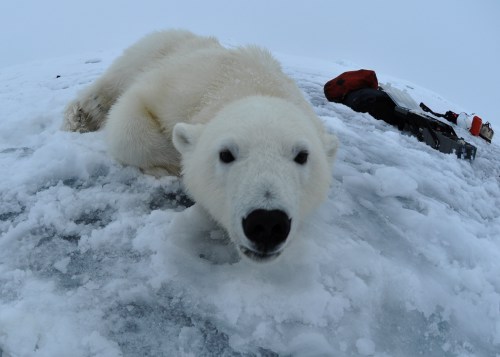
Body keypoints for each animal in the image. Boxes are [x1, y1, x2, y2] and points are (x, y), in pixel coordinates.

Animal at [62, 29, 336, 262]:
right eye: (226, 154)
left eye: (302, 155)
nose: (267, 223)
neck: (251, 83)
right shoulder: (177, 88)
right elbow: (130, 115)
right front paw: (173, 165)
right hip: (156, 47)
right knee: (114, 81)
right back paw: (81, 117)